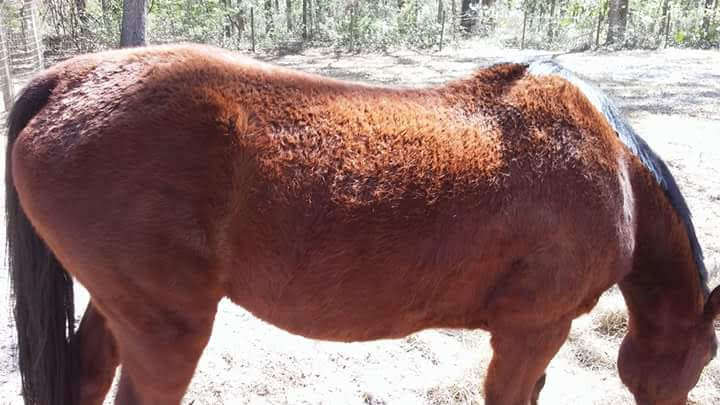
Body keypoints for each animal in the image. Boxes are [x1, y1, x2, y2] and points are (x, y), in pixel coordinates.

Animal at [5, 44, 719, 405]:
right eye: (708, 355)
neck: (614, 167)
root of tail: (67, 78)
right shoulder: (533, 330)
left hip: (120, 305)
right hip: (165, 329)